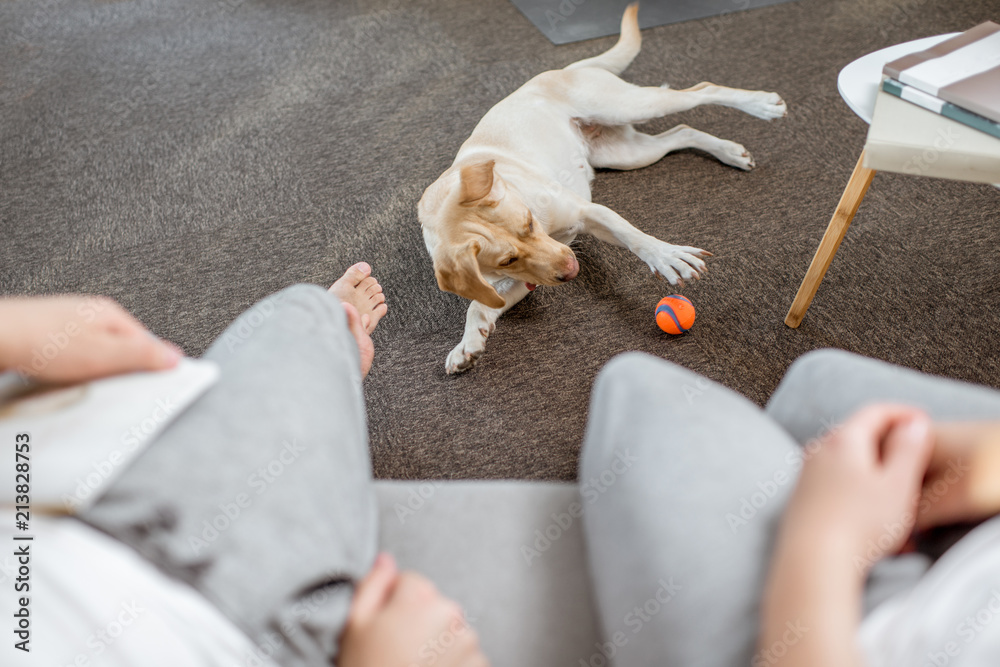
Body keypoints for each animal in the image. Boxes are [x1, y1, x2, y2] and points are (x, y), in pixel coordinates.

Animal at [418, 2, 784, 374]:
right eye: (507, 260)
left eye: (529, 223)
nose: (571, 269)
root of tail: (564, 68)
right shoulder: (519, 279)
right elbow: (478, 304)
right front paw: (469, 343)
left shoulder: (589, 211)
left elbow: (636, 238)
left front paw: (669, 257)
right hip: (629, 154)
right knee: (683, 130)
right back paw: (729, 152)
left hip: (629, 106)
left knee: (701, 91)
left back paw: (761, 105)